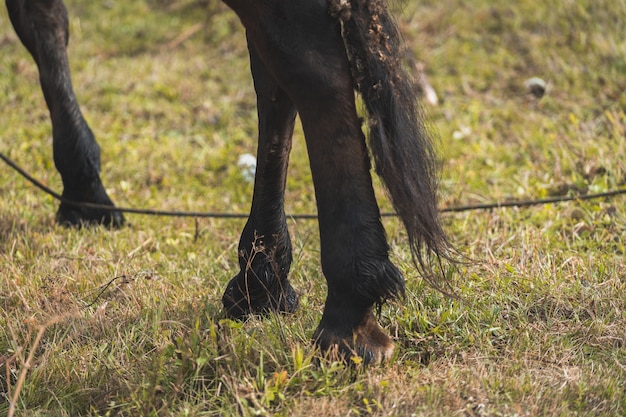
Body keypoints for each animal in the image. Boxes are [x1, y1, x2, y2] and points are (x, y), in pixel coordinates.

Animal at [6, 0, 454, 362]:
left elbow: (40, 21)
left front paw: (84, 192)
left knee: (310, 58)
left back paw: (347, 316)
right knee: (273, 73)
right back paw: (261, 279)